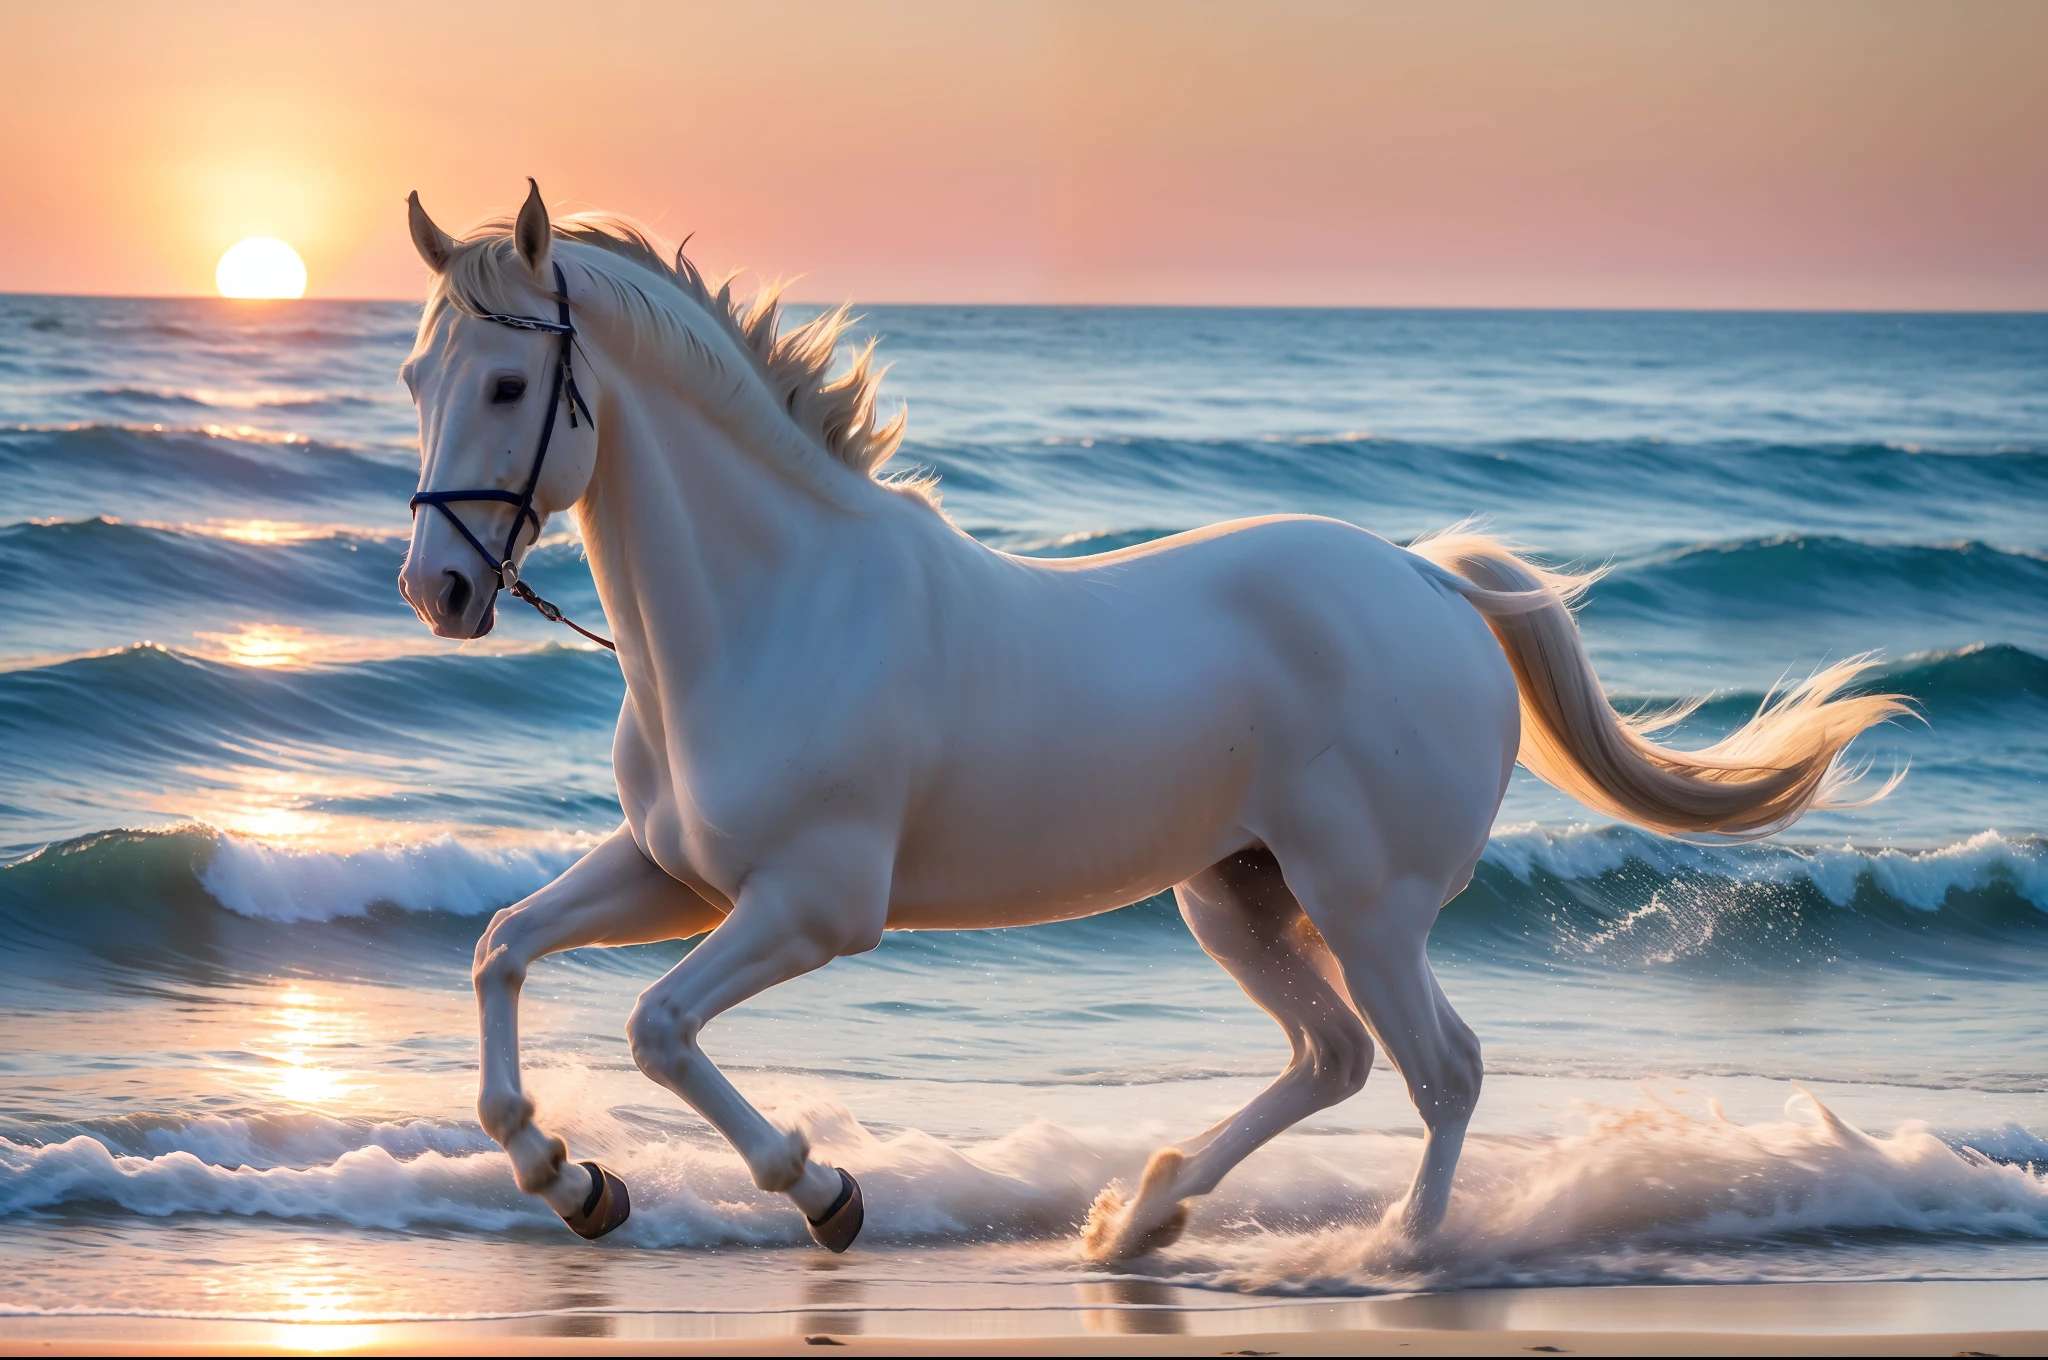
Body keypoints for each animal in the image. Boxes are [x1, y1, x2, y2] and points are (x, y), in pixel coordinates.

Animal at [397, 180, 1905, 1258]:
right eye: (419, 382)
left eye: (511, 385)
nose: (440, 590)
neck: (775, 610)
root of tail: (1428, 580)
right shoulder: (675, 874)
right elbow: (502, 947)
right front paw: (568, 1177)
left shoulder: (811, 907)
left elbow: (658, 1029)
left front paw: (821, 1190)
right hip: (1238, 895)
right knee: (1335, 1057)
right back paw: (1143, 1215)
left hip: (1364, 905)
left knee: (1444, 1070)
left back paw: (1396, 1258)